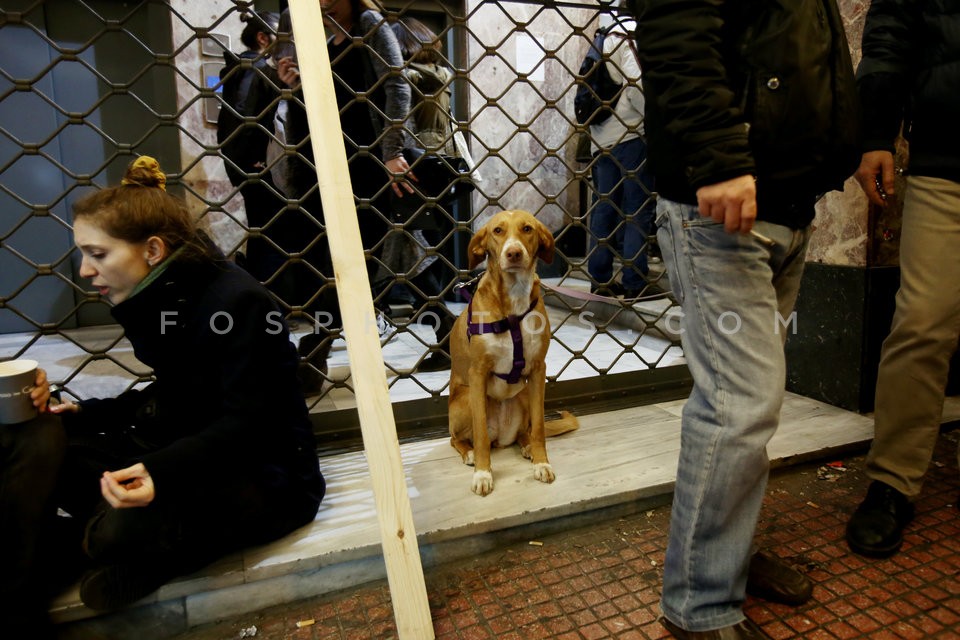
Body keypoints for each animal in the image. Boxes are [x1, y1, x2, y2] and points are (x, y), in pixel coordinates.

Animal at [448, 210, 579, 496]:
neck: (514, 301)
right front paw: (483, 474)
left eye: (527, 229)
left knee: (525, 431)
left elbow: (539, 427)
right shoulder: (477, 373)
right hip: (464, 401)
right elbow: (480, 434)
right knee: (456, 438)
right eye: (497, 231)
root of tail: (501, 437)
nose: (514, 253)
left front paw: (542, 463)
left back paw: (527, 445)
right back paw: (469, 453)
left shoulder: (539, 369)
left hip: (523, 396)